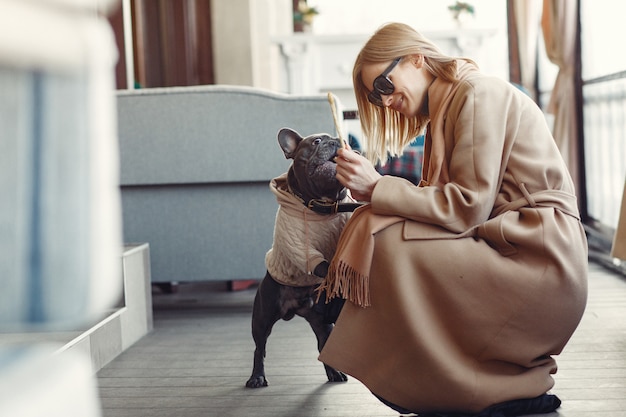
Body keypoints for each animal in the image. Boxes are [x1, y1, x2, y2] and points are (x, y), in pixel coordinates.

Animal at [244, 127, 356, 386]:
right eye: (316, 142)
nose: (337, 142)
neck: (323, 206)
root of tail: (295, 309)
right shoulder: (298, 245)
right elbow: (321, 263)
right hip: (263, 317)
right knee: (259, 348)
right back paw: (257, 377)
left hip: (322, 323)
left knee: (322, 344)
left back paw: (333, 372)